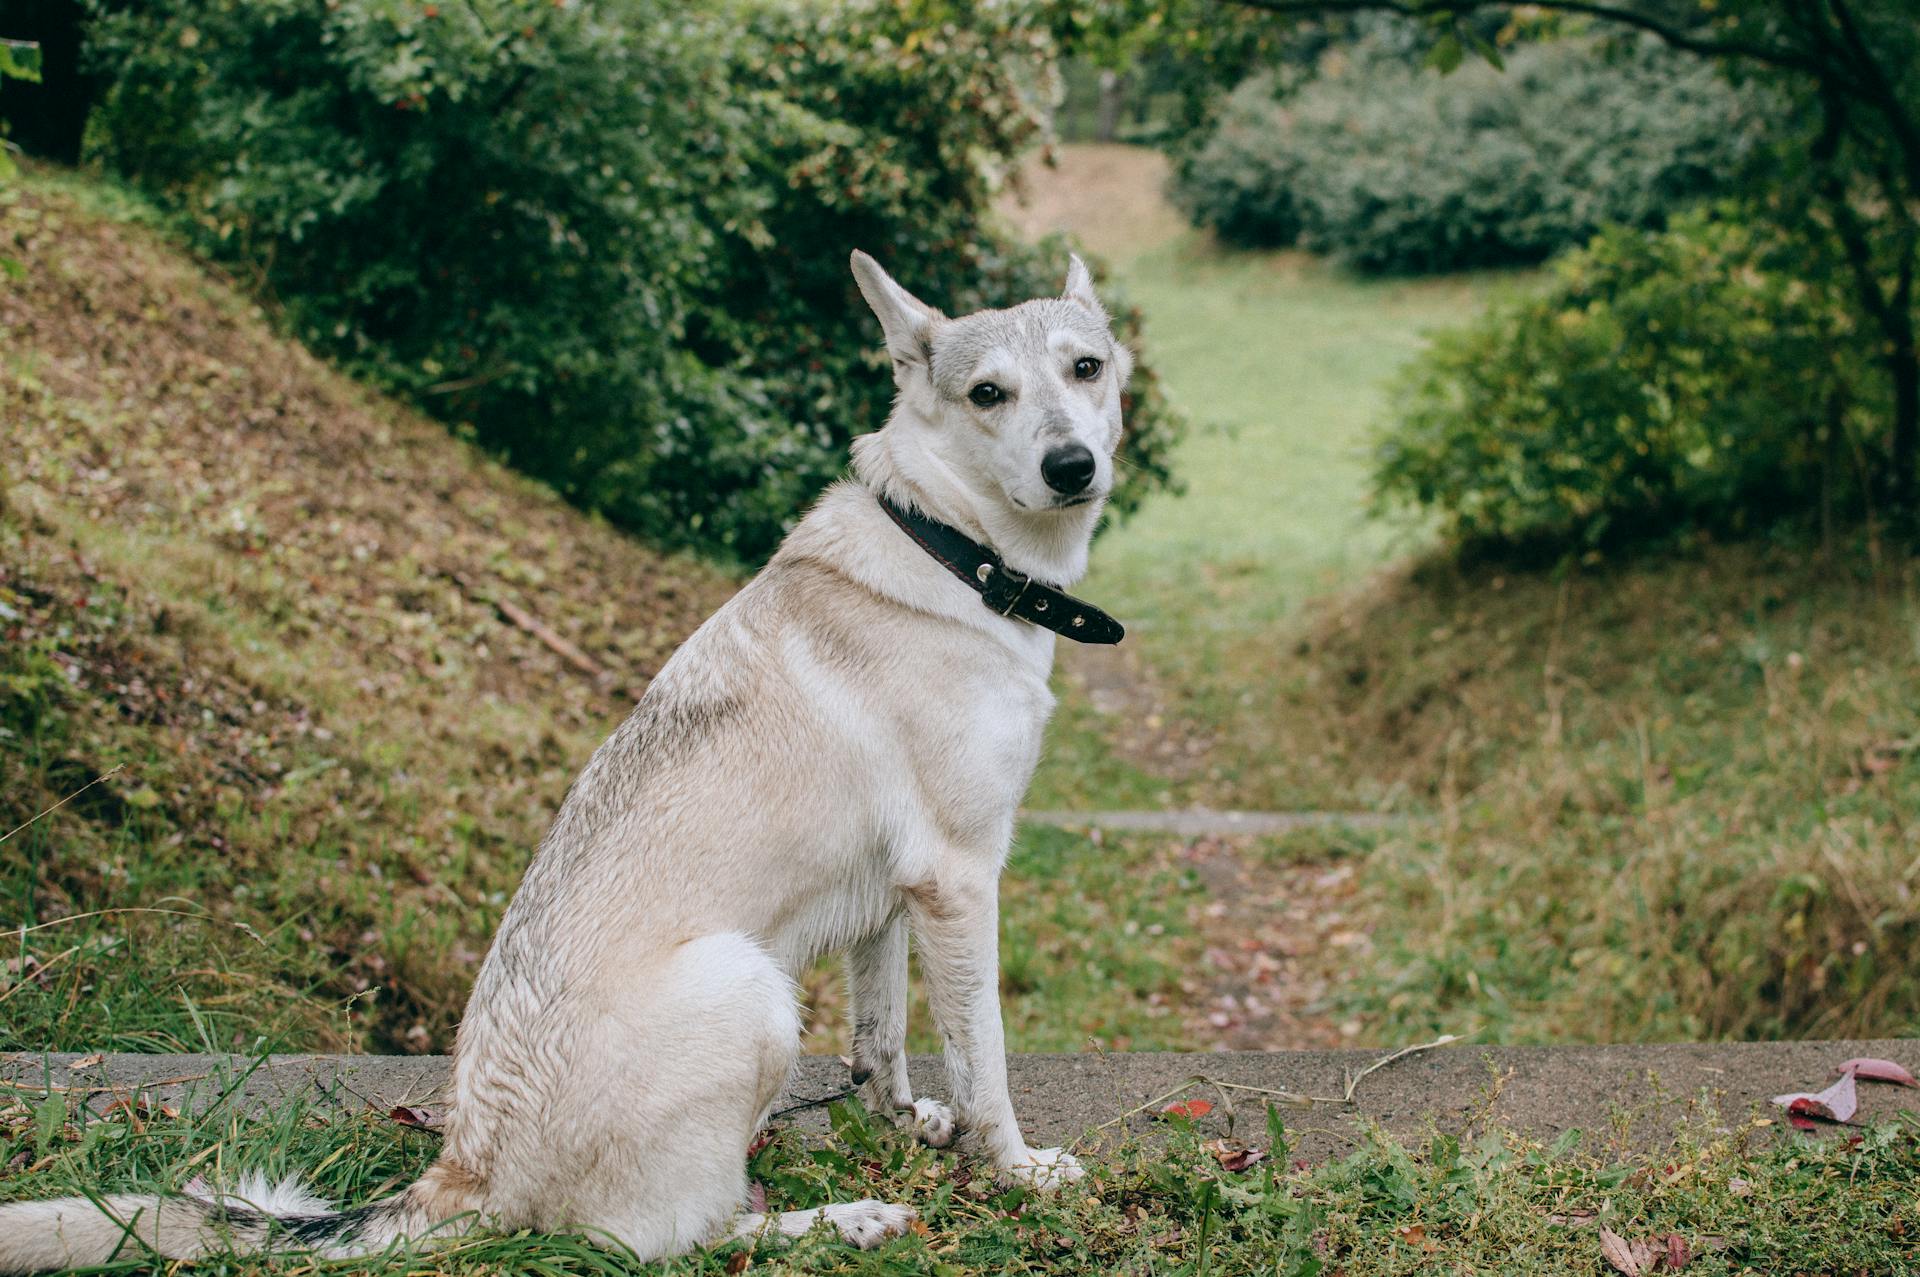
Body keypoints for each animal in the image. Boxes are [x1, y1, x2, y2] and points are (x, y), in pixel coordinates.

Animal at [0, 245, 1128, 1267]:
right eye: (988, 393)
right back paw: (841, 1222)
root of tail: (467, 1168)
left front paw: (906, 1124)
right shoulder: (960, 878)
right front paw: (1016, 1168)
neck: (949, 542)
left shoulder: (896, 897)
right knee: (672, 1239)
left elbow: (881, 1039)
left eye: (1086, 368)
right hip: (749, 982)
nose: (1073, 466)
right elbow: (983, 1056)